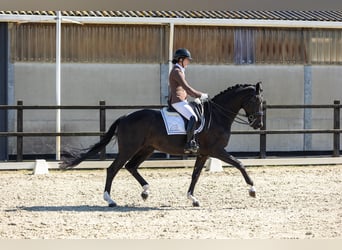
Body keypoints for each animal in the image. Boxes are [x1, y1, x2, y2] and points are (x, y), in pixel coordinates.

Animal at [60, 82, 264, 207]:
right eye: (256, 100)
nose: (258, 124)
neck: (217, 116)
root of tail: (124, 117)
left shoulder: (204, 153)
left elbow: (195, 175)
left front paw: (193, 198)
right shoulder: (216, 150)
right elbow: (240, 164)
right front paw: (252, 189)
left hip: (147, 149)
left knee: (131, 166)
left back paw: (145, 191)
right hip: (130, 148)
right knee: (113, 169)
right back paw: (110, 200)